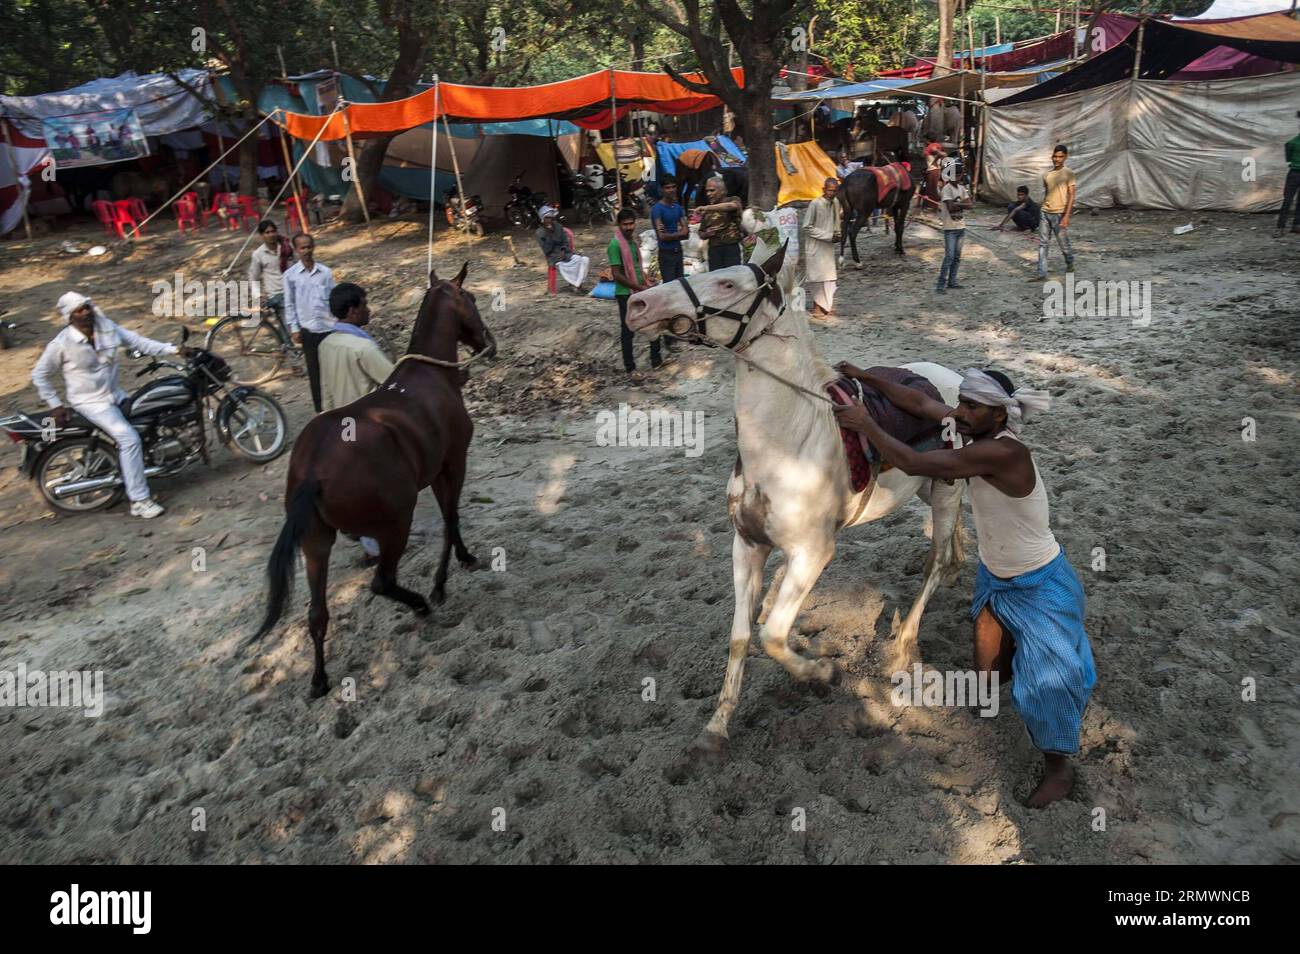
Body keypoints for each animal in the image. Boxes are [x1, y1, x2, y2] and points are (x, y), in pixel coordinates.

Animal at [250, 265, 493, 696]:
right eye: (473, 299)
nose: (488, 342)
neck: (429, 375)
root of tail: (313, 471)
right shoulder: (453, 462)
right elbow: (451, 518)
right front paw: (444, 579)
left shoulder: (434, 471)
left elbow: (449, 518)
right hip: (395, 523)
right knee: (382, 582)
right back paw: (420, 604)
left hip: (316, 543)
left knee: (317, 613)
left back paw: (319, 680)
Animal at [624, 244, 972, 753]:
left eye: (727, 283)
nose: (637, 304)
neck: (786, 443)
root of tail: (952, 379)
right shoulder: (747, 546)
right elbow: (741, 634)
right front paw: (717, 726)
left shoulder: (813, 553)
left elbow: (772, 636)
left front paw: (822, 672)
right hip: (931, 491)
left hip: (944, 496)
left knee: (934, 562)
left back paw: (903, 643)